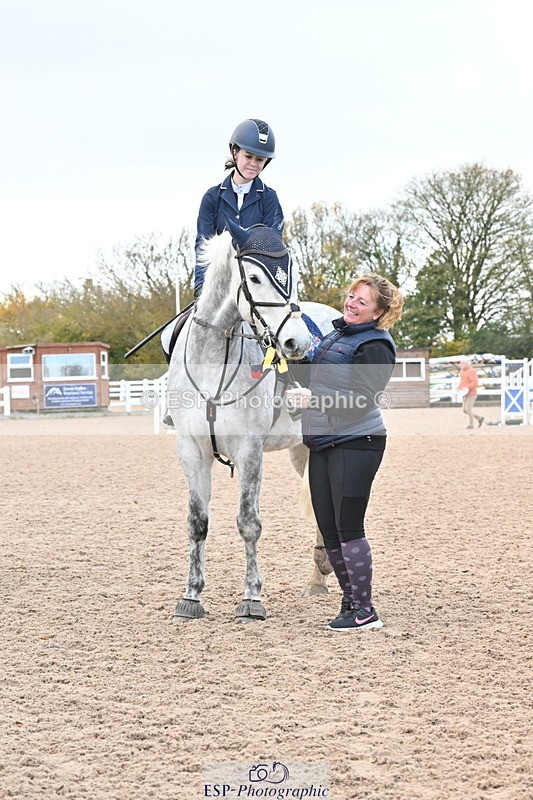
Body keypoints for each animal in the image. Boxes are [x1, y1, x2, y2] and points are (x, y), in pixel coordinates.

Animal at [167, 219, 337, 622]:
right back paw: (318, 579)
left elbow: (248, 523)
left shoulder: (249, 450)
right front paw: (191, 596)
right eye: (255, 278)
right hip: (301, 451)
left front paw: (251, 598)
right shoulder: (191, 449)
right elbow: (197, 523)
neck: (214, 361)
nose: (296, 343)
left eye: (290, 274)